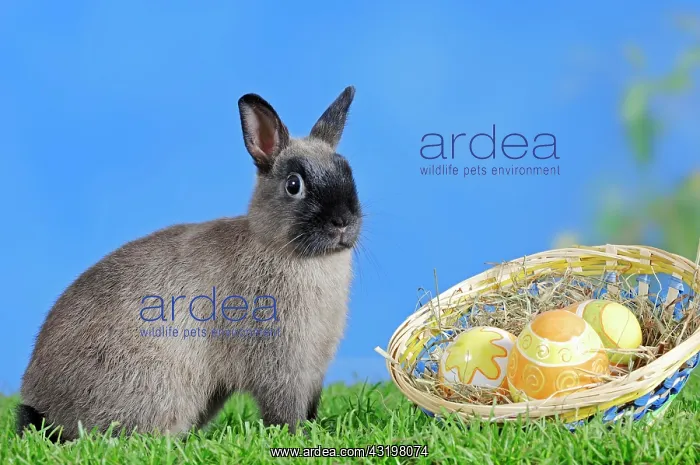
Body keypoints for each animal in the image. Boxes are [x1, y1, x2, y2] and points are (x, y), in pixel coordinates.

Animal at [17, 86, 362, 442]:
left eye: (349, 173)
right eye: (294, 185)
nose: (343, 222)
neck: (282, 249)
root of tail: (41, 407)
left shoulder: (313, 373)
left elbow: (309, 409)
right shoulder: (281, 369)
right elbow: (284, 413)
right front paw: (298, 438)